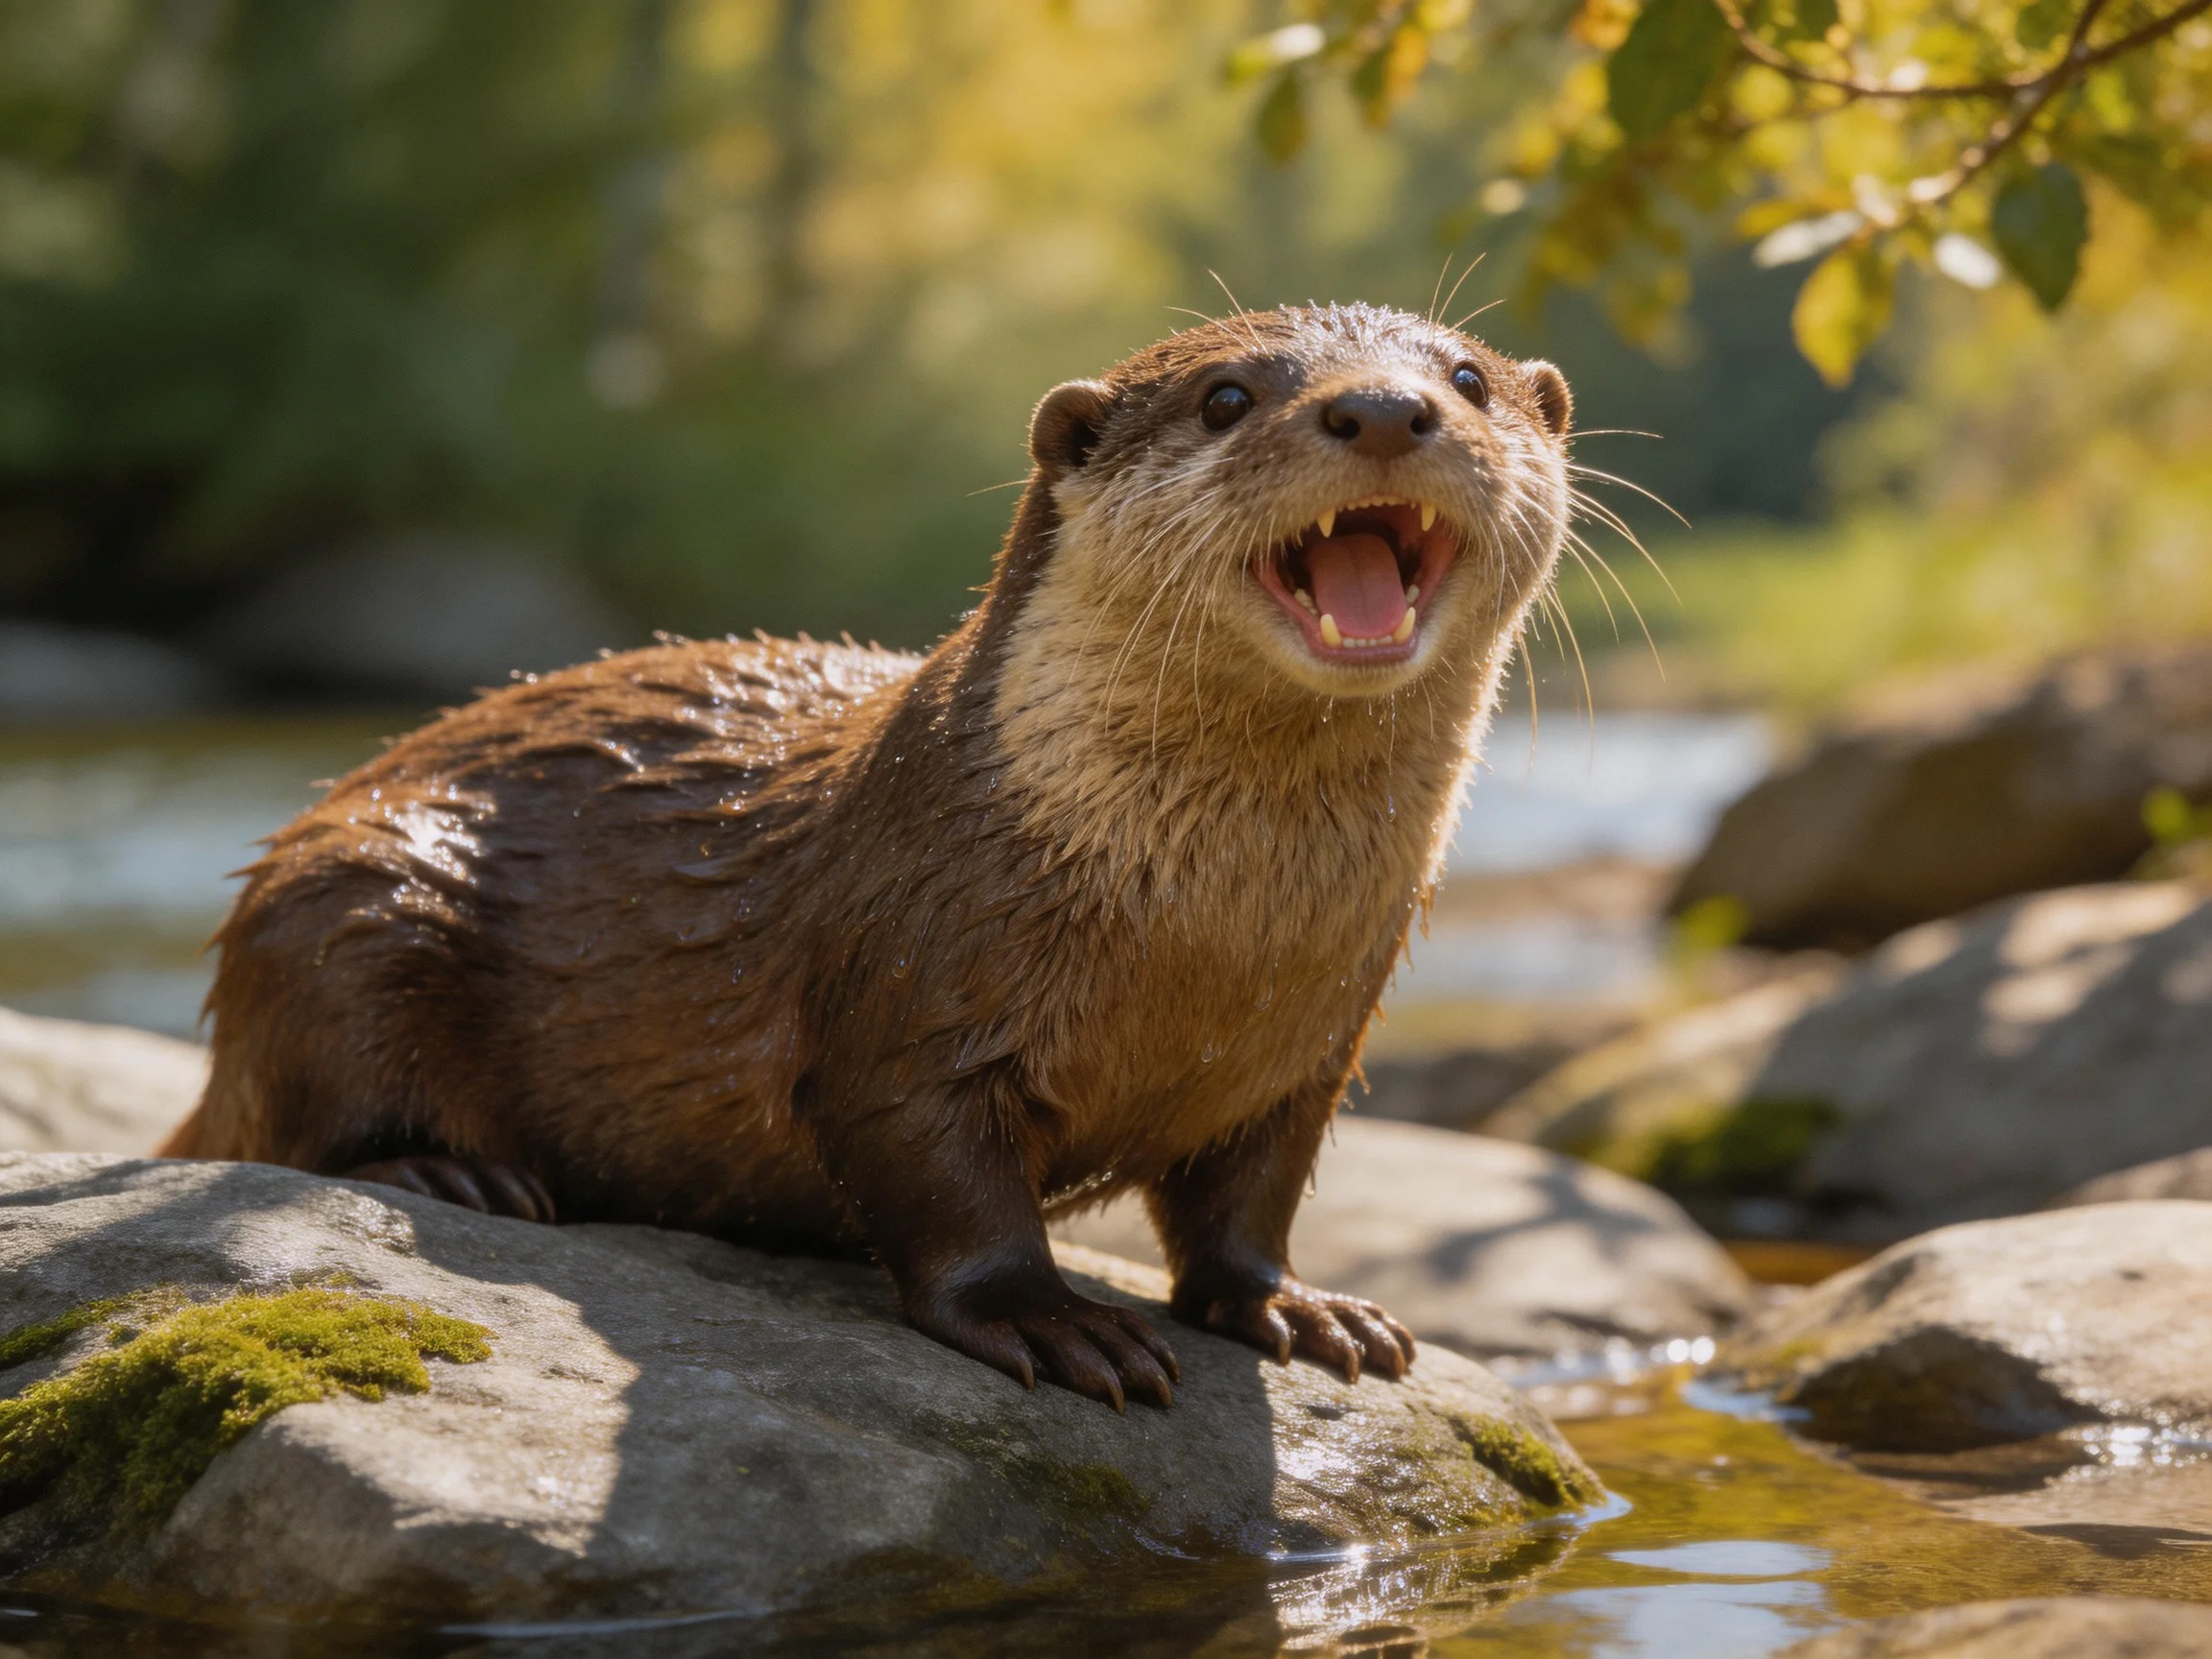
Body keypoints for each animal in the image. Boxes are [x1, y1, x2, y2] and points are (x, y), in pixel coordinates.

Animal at [163, 303, 1574, 1412]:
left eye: (1468, 378)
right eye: (1226, 398)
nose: (1383, 408)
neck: (1215, 937)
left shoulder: (1311, 1049)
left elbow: (1251, 1200)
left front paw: (1300, 1308)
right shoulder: (915, 975)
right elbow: (936, 1175)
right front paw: (1049, 1320)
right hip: (346, 896)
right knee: (290, 1109)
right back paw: (448, 1169)